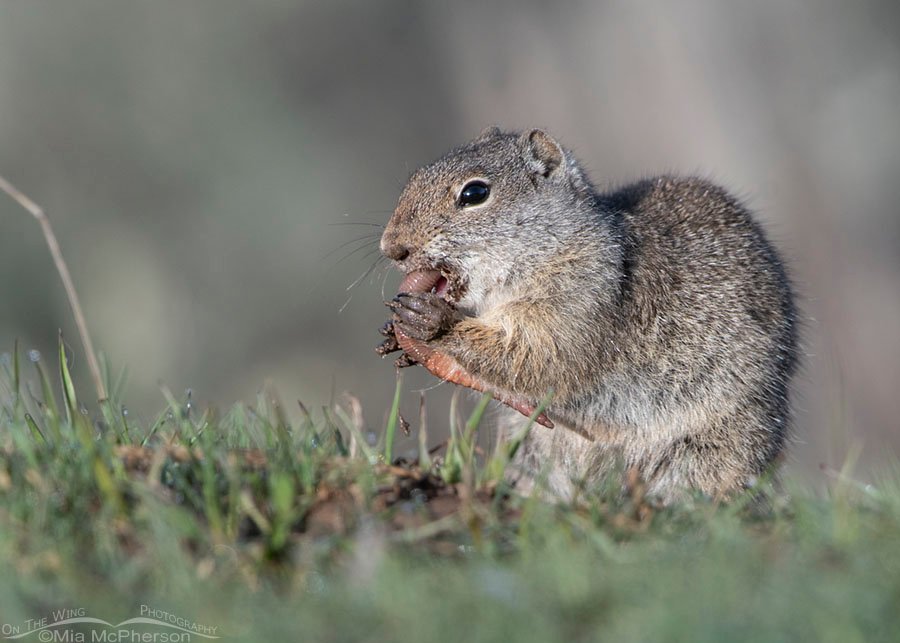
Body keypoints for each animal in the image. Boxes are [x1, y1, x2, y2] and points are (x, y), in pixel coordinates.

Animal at [375, 127, 798, 503]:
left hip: (712, 449)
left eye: (475, 193)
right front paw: (397, 334)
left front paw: (432, 321)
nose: (391, 247)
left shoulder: (580, 306)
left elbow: (534, 358)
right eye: (415, 178)